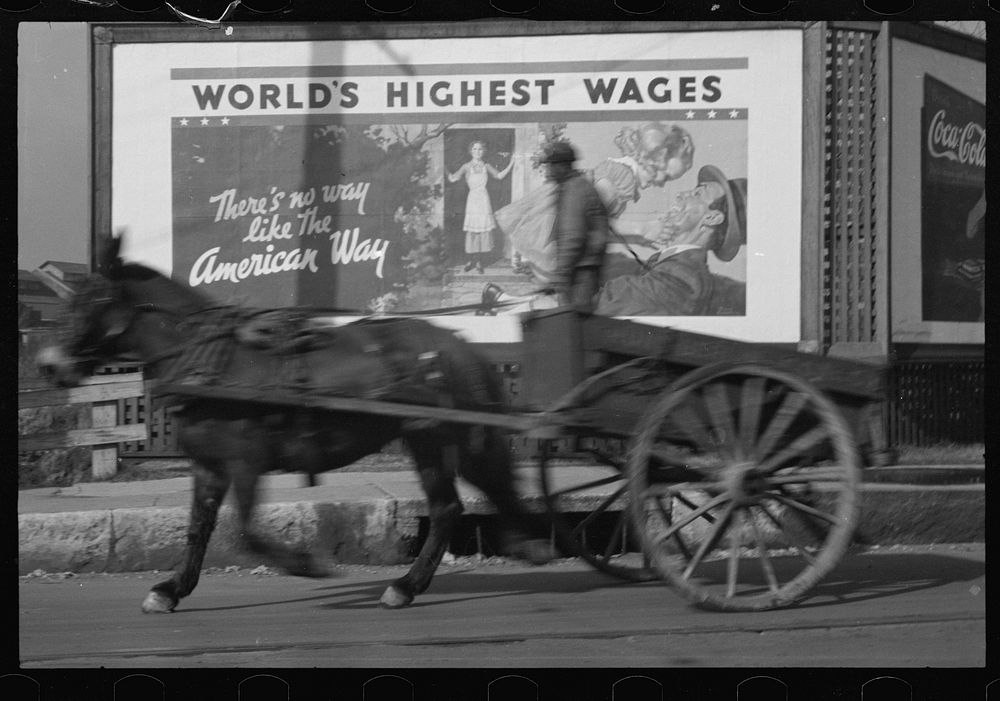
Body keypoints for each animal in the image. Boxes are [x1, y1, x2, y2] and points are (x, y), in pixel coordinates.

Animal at [37, 234, 556, 608]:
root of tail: (457, 343)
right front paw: (172, 589)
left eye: (93, 302)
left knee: (454, 503)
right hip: (441, 439)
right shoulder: (207, 464)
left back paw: (415, 583)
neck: (206, 359)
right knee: (463, 498)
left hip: (437, 436)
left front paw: (308, 566)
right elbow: (199, 527)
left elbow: (245, 530)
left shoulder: (244, 460)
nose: (47, 364)